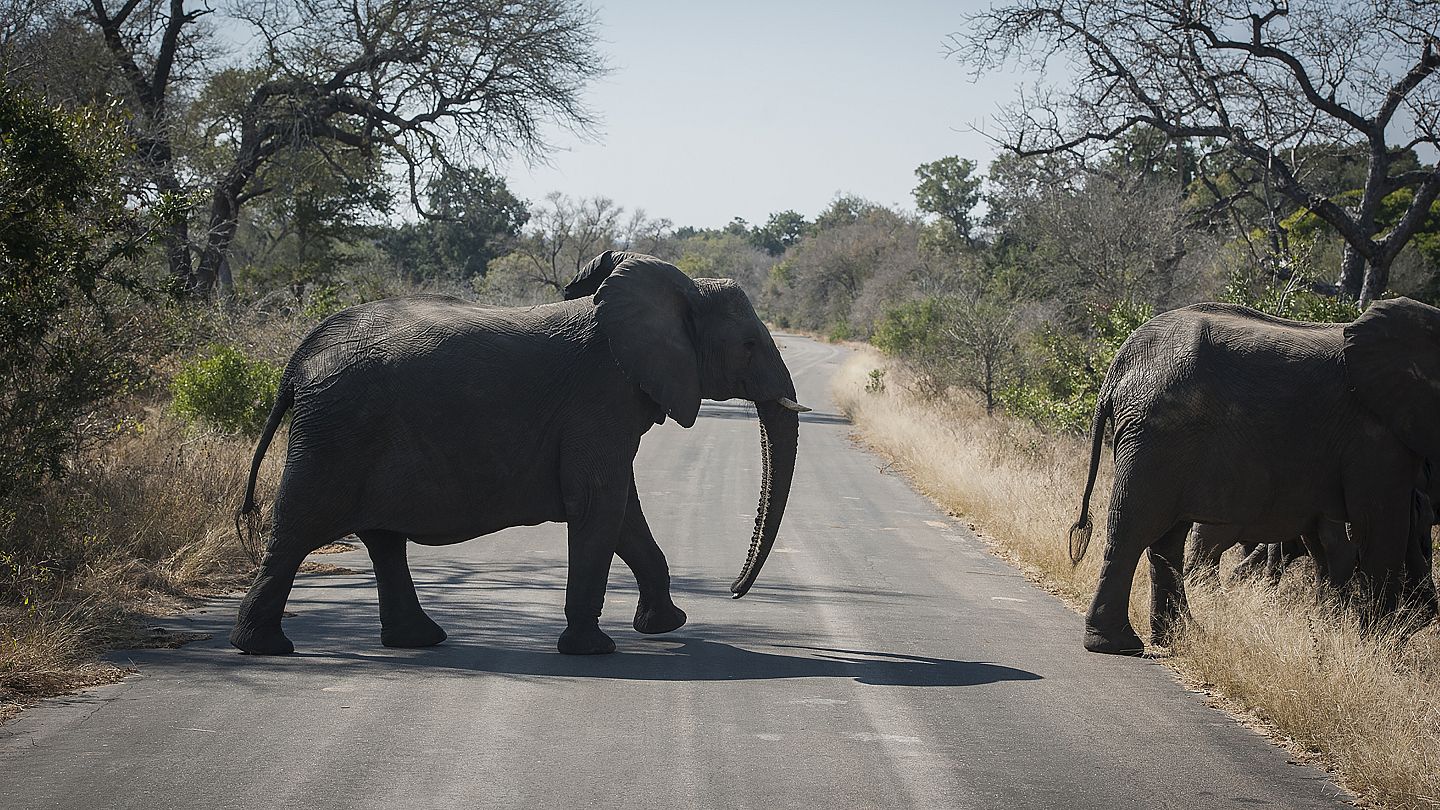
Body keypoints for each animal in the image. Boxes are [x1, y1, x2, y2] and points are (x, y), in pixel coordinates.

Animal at [230, 252, 806, 657]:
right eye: (750, 345)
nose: (734, 592)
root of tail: (297, 361)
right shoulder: (600, 396)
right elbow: (600, 504)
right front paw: (593, 650)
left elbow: (623, 511)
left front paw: (665, 626)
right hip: (335, 431)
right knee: (297, 530)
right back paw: (266, 648)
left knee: (382, 539)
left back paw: (418, 640)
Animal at [1065, 299, 1440, 651]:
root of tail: (1119, 364)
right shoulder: (1376, 437)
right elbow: (1381, 529)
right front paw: (1375, 649)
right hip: (1156, 434)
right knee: (1135, 527)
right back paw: (1118, 644)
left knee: (1167, 539)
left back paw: (1180, 637)